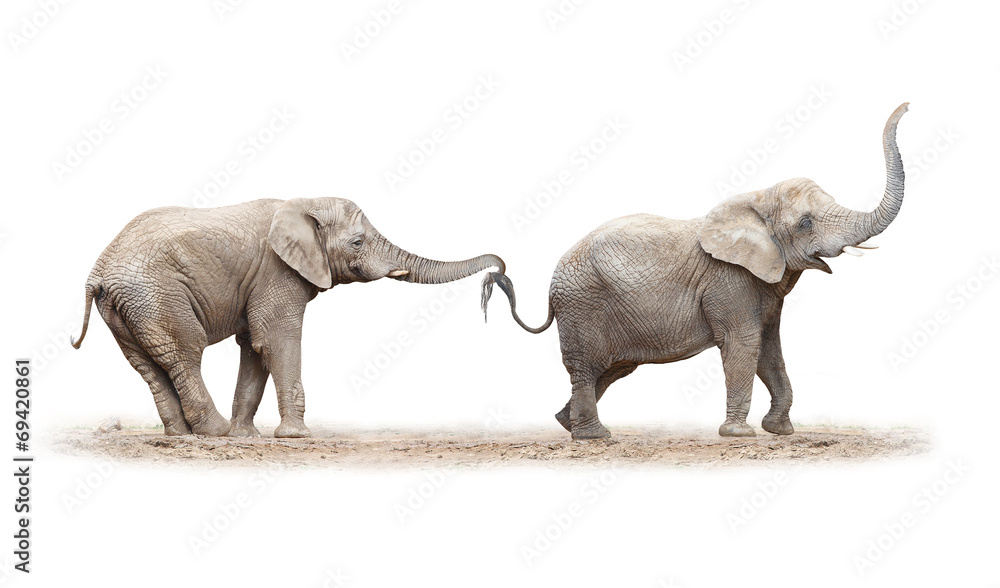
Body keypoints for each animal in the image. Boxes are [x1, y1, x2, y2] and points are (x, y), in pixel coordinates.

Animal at [71, 197, 504, 437]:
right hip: (156, 294)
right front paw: (296, 437)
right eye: (358, 242)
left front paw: (247, 438)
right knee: (184, 354)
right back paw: (212, 433)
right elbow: (277, 339)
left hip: (128, 306)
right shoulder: (277, 272)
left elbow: (254, 346)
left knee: (148, 365)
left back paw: (183, 436)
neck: (305, 203)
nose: (498, 269)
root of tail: (98, 273)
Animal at [482, 104, 909, 439]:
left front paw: (779, 431)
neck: (756, 199)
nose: (906, 106)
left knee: (612, 368)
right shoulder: (729, 281)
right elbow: (744, 345)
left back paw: (567, 424)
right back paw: (594, 437)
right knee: (587, 368)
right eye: (805, 223)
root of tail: (552, 284)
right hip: (582, 304)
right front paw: (739, 435)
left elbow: (770, 349)